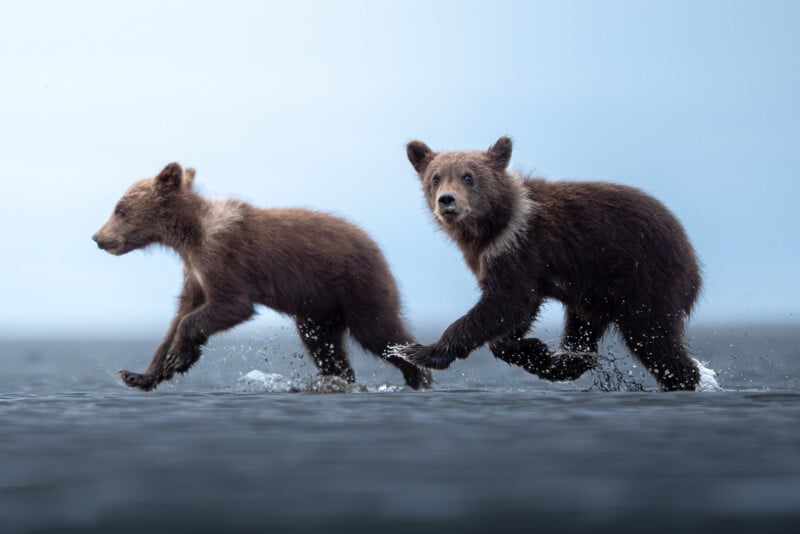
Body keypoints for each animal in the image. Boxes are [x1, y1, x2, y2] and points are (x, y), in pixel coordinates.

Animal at [92, 162, 432, 391]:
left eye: (120, 208)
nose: (98, 237)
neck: (191, 235)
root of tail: (378, 247)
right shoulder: (195, 272)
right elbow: (180, 315)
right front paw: (142, 374)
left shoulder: (224, 259)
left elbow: (229, 306)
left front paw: (178, 356)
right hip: (320, 309)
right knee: (324, 345)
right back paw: (338, 377)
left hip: (358, 286)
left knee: (379, 331)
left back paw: (419, 375)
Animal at [394, 136, 703, 391]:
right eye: (435, 178)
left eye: (468, 177)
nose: (447, 200)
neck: (492, 227)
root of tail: (689, 249)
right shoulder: (495, 259)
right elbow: (514, 313)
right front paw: (534, 350)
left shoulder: (521, 249)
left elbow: (507, 302)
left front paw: (418, 351)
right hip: (596, 293)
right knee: (583, 331)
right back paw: (565, 362)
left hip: (645, 280)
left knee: (653, 338)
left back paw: (682, 378)